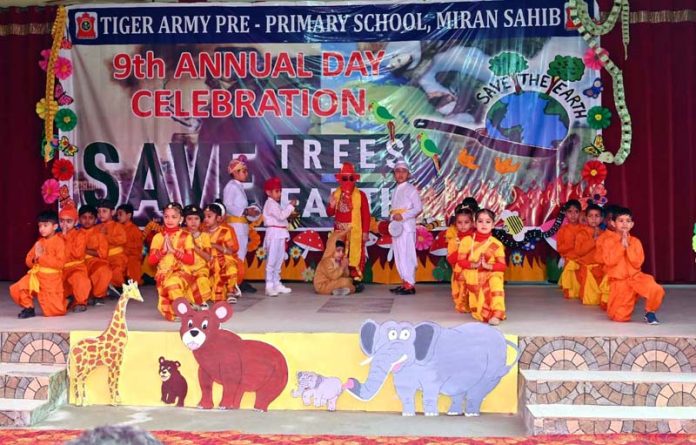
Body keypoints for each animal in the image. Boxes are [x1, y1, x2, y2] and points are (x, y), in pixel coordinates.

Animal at [346, 320, 520, 416]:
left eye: (404, 336)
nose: (349, 381)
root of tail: (504, 337)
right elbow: (404, 392)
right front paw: (408, 415)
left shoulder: (431, 369)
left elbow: (430, 390)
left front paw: (430, 414)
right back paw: (453, 413)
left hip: (494, 366)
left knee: (477, 392)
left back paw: (471, 414)